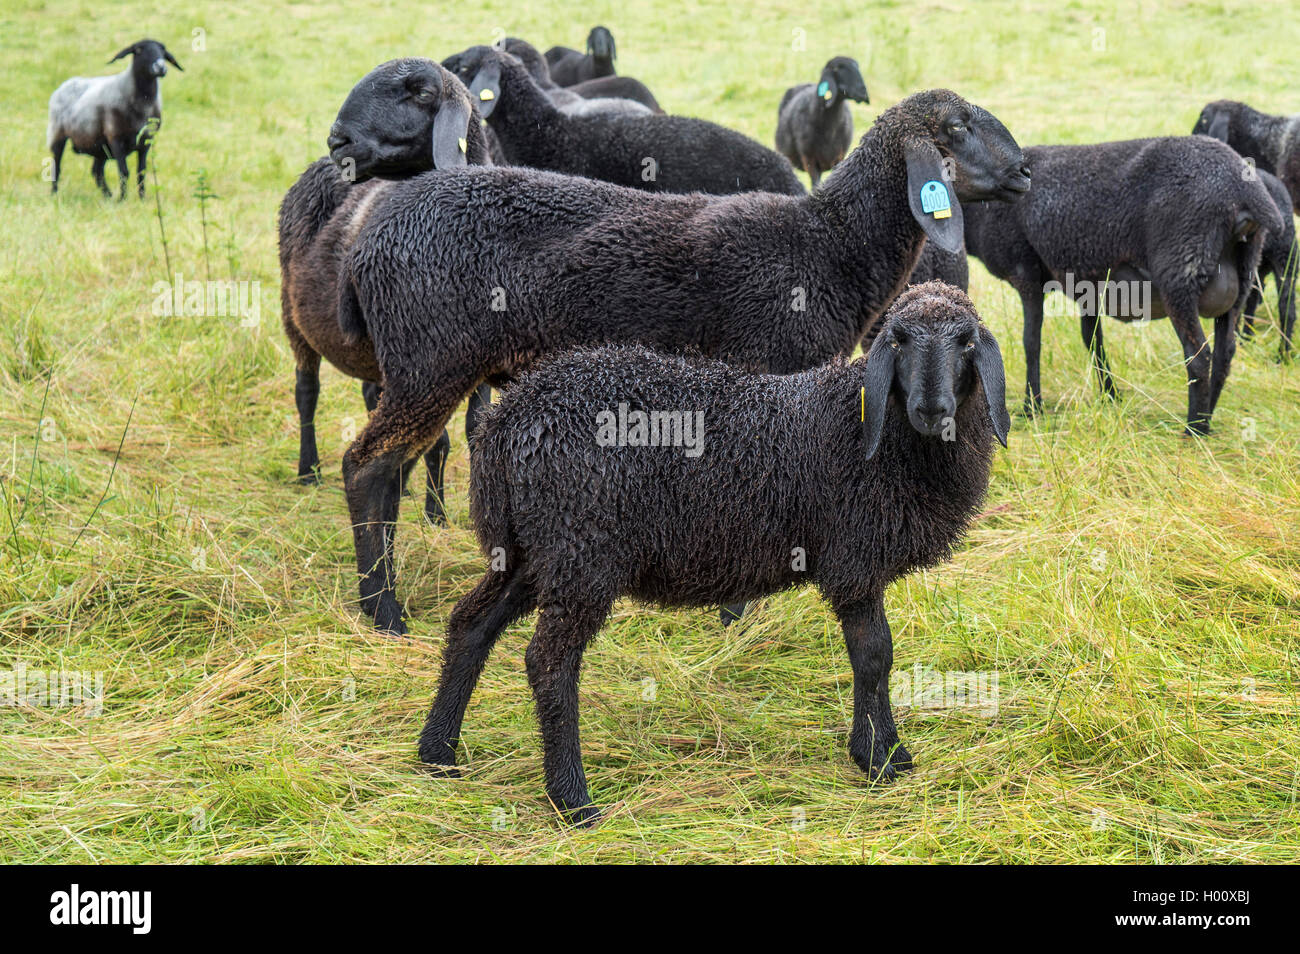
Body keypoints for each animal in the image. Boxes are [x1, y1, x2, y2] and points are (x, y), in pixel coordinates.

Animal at [48, 39, 183, 200]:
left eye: (163, 51)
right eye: (138, 50)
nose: (161, 67)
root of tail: (67, 83)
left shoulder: (146, 141)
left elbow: (141, 172)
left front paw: (142, 199)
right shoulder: (116, 138)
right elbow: (123, 172)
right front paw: (123, 199)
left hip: (99, 145)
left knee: (96, 171)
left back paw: (108, 196)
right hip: (57, 133)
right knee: (56, 166)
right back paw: (54, 193)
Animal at [282, 61, 488, 522]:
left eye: (421, 92)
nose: (337, 140)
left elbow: (474, 428)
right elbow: (437, 439)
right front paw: (435, 514)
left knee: (371, 396)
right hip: (292, 316)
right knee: (307, 391)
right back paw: (308, 470)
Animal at [330, 87, 1029, 634]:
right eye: (957, 127)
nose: (1024, 171)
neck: (826, 247)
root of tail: (366, 239)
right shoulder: (766, 373)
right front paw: (735, 614)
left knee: (387, 467)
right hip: (430, 358)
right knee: (367, 465)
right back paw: (383, 612)